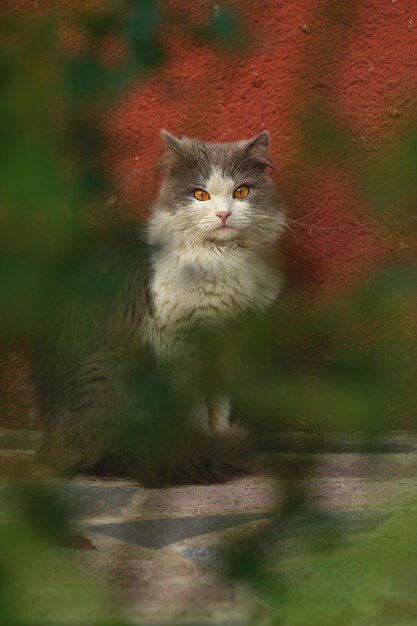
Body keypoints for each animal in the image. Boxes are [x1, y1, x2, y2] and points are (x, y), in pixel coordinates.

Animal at [35, 129, 286, 486]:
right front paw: (205, 442)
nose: (223, 215)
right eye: (200, 195)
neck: (222, 259)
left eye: (241, 191)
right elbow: (196, 408)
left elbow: (219, 407)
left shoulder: (226, 343)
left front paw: (218, 436)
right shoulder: (177, 341)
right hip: (114, 367)